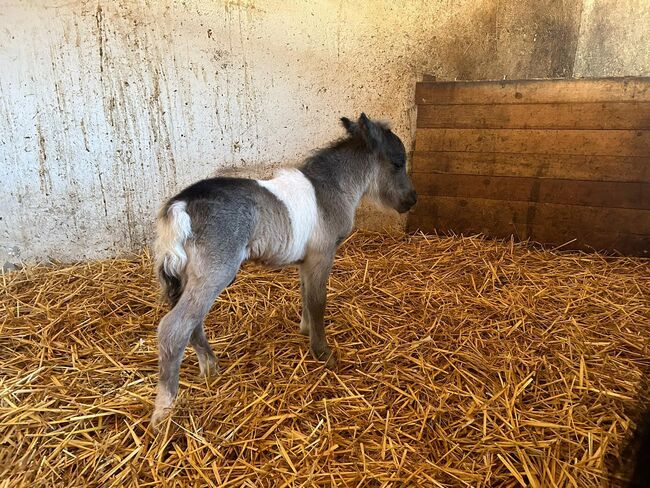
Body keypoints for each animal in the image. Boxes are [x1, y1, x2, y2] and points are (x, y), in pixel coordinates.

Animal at [151, 113, 416, 428]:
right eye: (397, 163)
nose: (412, 200)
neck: (332, 189)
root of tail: (180, 205)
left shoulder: (306, 261)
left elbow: (306, 296)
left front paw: (305, 330)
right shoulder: (322, 255)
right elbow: (318, 301)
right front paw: (323, 353)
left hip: (187, 279)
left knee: (193, 323)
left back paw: (211, 369)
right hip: (215, 273)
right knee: (174, 327)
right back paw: (164, 411)